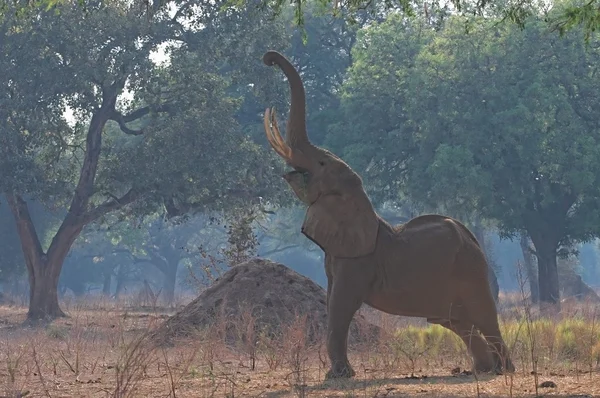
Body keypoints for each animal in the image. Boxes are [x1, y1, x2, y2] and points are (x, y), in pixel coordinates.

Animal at [260, 49, 512, 380]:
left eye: (322, 164)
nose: (268, 59)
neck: (361, 203)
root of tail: (472, 237)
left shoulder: (358, 262)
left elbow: (341, 306)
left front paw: (339, 376)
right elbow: (332, 301)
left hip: (471, 269)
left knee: (483, 316)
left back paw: (504, 369)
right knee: (455, 321)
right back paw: (481, 369)